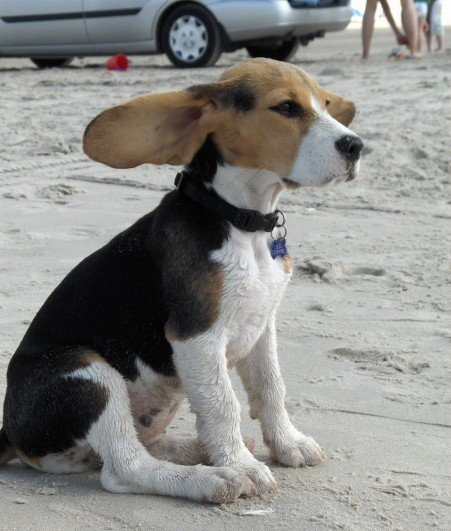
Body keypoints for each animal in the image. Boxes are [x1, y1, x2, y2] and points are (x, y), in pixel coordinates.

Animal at [0, 58, 362, 502]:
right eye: (287, 108)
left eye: (325, 104)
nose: (356, 146)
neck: (241, 222)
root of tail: (10, 433)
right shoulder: (196, 336)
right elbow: (224, 404)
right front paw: (241, 464)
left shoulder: (262, 326)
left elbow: (271, 387)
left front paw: (287, 443)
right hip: (87, 374)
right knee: (125, 468)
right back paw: (212, 478)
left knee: (139, 447)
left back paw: (198, 450)